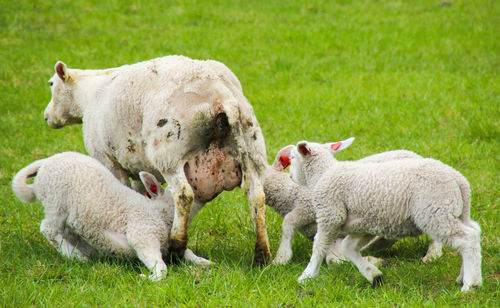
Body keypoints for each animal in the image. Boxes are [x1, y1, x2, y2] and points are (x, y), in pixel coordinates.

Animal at [11, 152, 211, 282]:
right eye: (175, 194)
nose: (201, 192)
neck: (157, 214)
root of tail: (45, 162)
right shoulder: (143, 234)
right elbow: (160, 266)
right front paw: (149, 277)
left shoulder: (168, 243)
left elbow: (187, 253)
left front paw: (204, 262)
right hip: (56, 201)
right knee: (48, 229)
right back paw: (76, 255)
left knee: (66, 232)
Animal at [41, 55, 272, 264]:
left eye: (51, 84)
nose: (46, 117)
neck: (89, 95)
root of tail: (223, 98)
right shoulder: (136, 169)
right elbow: (139, 195)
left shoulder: (108, 160)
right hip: (254, 147)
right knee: (257, 197)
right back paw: (262, 255)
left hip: (168, 151)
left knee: (184, 194)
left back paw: (177, 246)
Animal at [266, 141, 442, 266]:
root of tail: (418, 156)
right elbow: (332, 258)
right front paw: (372, 260)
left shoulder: (310, 207)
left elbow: (288, 222)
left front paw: (280, 258)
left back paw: (432, 255)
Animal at [288, 140, 482, 292]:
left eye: (292, 158)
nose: (290, 176)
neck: (322, 175)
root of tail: (459, 179)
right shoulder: (363, 226)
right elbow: (348, 248)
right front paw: (373, 275)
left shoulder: (330, 214)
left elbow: (319, 247)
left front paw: (307, 276)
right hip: (453, 211)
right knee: (474, 231)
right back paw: (465, 277)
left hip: (434, 211)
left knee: (467, 239)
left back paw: (470, 284)